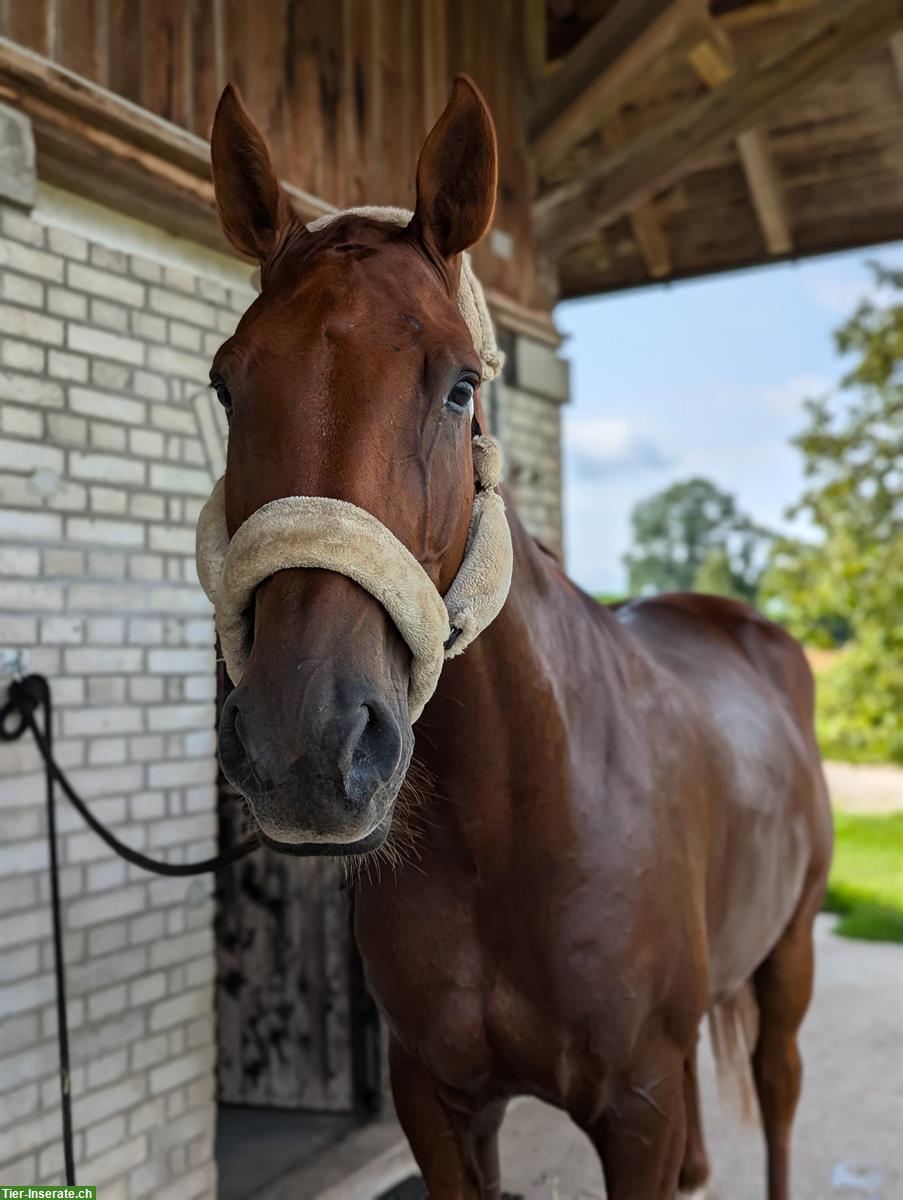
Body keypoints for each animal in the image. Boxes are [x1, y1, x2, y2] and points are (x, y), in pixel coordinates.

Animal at [207, 77, 830, 1200]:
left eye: (459, 385)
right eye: (227, 383)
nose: (305, 748)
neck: (510, 828)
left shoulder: (638, 1107)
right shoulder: (437, 1102)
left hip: (788, 958)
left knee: (778, 1097)